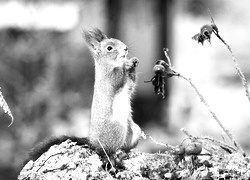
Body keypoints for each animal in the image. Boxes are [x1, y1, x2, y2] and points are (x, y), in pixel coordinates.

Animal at [25, 28, 144, 166]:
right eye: (109, 48)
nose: (126, 48)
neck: (110, 65)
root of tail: (93, 141)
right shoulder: (108, 81)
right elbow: (117, 77)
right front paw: (127, 64)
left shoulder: (128, 85)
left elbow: (131, 84)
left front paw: (133, 61)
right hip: (117, 130)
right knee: (106, 150)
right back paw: (115, 155)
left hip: (135, 130)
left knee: (124, 147)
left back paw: (126, 152)